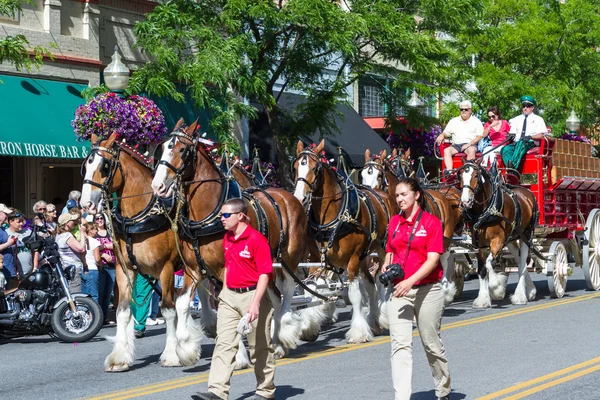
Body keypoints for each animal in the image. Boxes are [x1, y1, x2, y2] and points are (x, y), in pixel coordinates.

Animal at [79, 132, 204, 372]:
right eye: (86, 166)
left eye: (104, 166)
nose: (86, 204)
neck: (139, 217)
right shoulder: (124, 269)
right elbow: (123, 311)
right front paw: (119, 357)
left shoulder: (166, 269)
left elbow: (168, 309)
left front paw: (171, 355)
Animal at [151, 121, 310, 356]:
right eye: (162, 148)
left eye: (182, 149)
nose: (157, 186)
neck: (209, 213)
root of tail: (290, 196)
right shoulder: (193, 268)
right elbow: (182, 303)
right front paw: (185, 347)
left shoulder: (226, 269)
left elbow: (228, 304)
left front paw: (239, 353)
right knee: (273, 294)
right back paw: (275, 341)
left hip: (289, 257)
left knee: (287, 292)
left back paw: (283, 334)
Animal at [292, 140, 396, 340]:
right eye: (295, 167)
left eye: (315, 168)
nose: (300, 198)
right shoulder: (316, 259)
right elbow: (312, 290)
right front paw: (308, 327)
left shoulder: (353, 258)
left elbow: (355, 294)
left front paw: (358, 332)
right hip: (364, 257)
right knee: (371, 284)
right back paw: (374, 320)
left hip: (380, 251)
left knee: (380, 280)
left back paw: (382, 317)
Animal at [358, 148, 466, 304]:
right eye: (362, 174)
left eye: (379, 175)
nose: (367, 193)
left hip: (445, 238)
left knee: (445, 260)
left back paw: (445, 291)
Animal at [458, 158, 536, 308]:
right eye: (460, 177)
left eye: (475, 176)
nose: (465, 201)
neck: (487, 210)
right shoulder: (478, 244)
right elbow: (481, 270)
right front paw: (482, 299)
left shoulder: (498, 241)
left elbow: (489, 264)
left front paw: (496, 288)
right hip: (512, 238)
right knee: (519, 260)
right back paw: (530, 290)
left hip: (526, 234)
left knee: (523, 262)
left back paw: (520, 295)